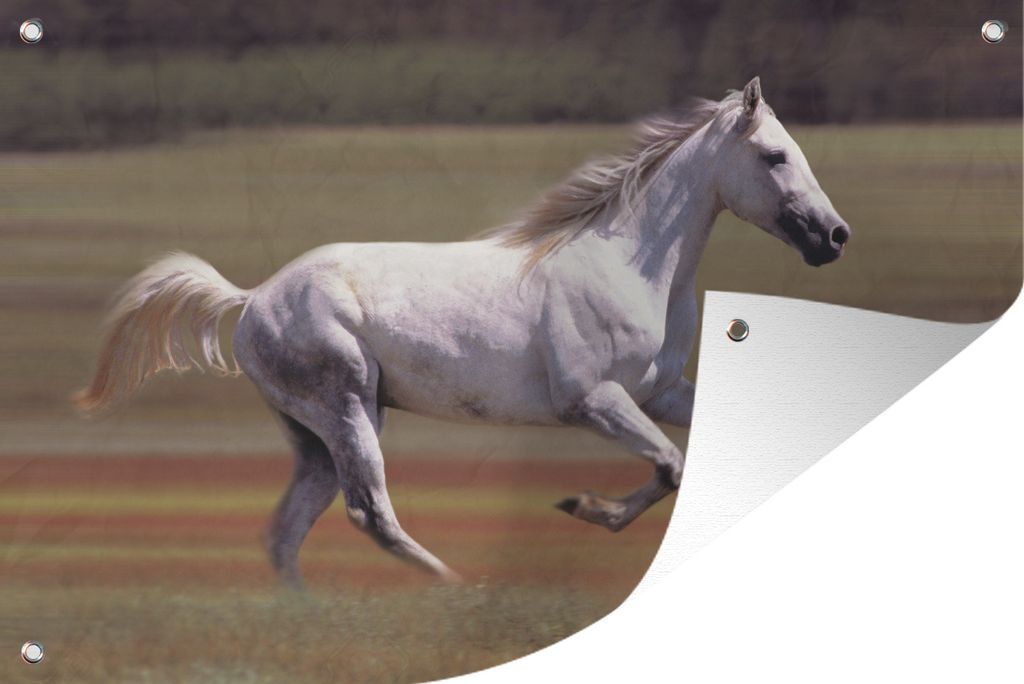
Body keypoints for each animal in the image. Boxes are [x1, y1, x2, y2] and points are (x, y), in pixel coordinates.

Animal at [75, 77, 850, 587]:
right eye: (775, 156)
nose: (834, 237)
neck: (631, 264)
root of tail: (256, 297)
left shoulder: (660, 393)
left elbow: (681, 461)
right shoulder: (593, 401)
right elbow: (669, 467)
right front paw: (581, 507)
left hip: (315, 436)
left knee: (286, 532)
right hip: (349, 409)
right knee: (370, 513)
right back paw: (455, 588)